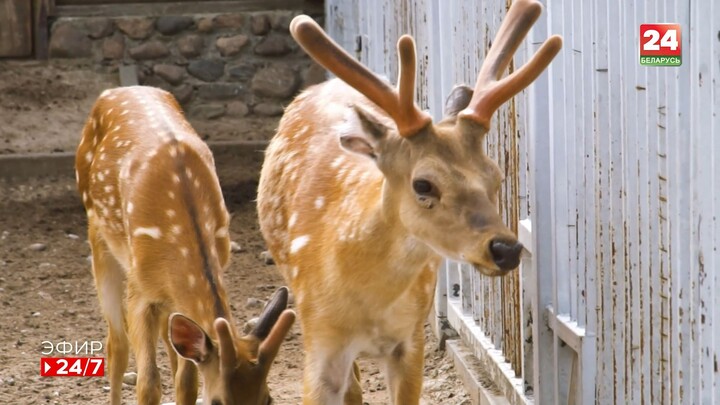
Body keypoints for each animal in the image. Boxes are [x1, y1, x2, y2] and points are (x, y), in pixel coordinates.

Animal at [75, 87, 296, 404]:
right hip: (98, 236)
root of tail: (116, 90)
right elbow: (148, 383)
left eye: (267, 398)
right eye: (218, 401)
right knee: (117, 344)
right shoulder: (139, 291)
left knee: (169, 345)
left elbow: (187, 381)